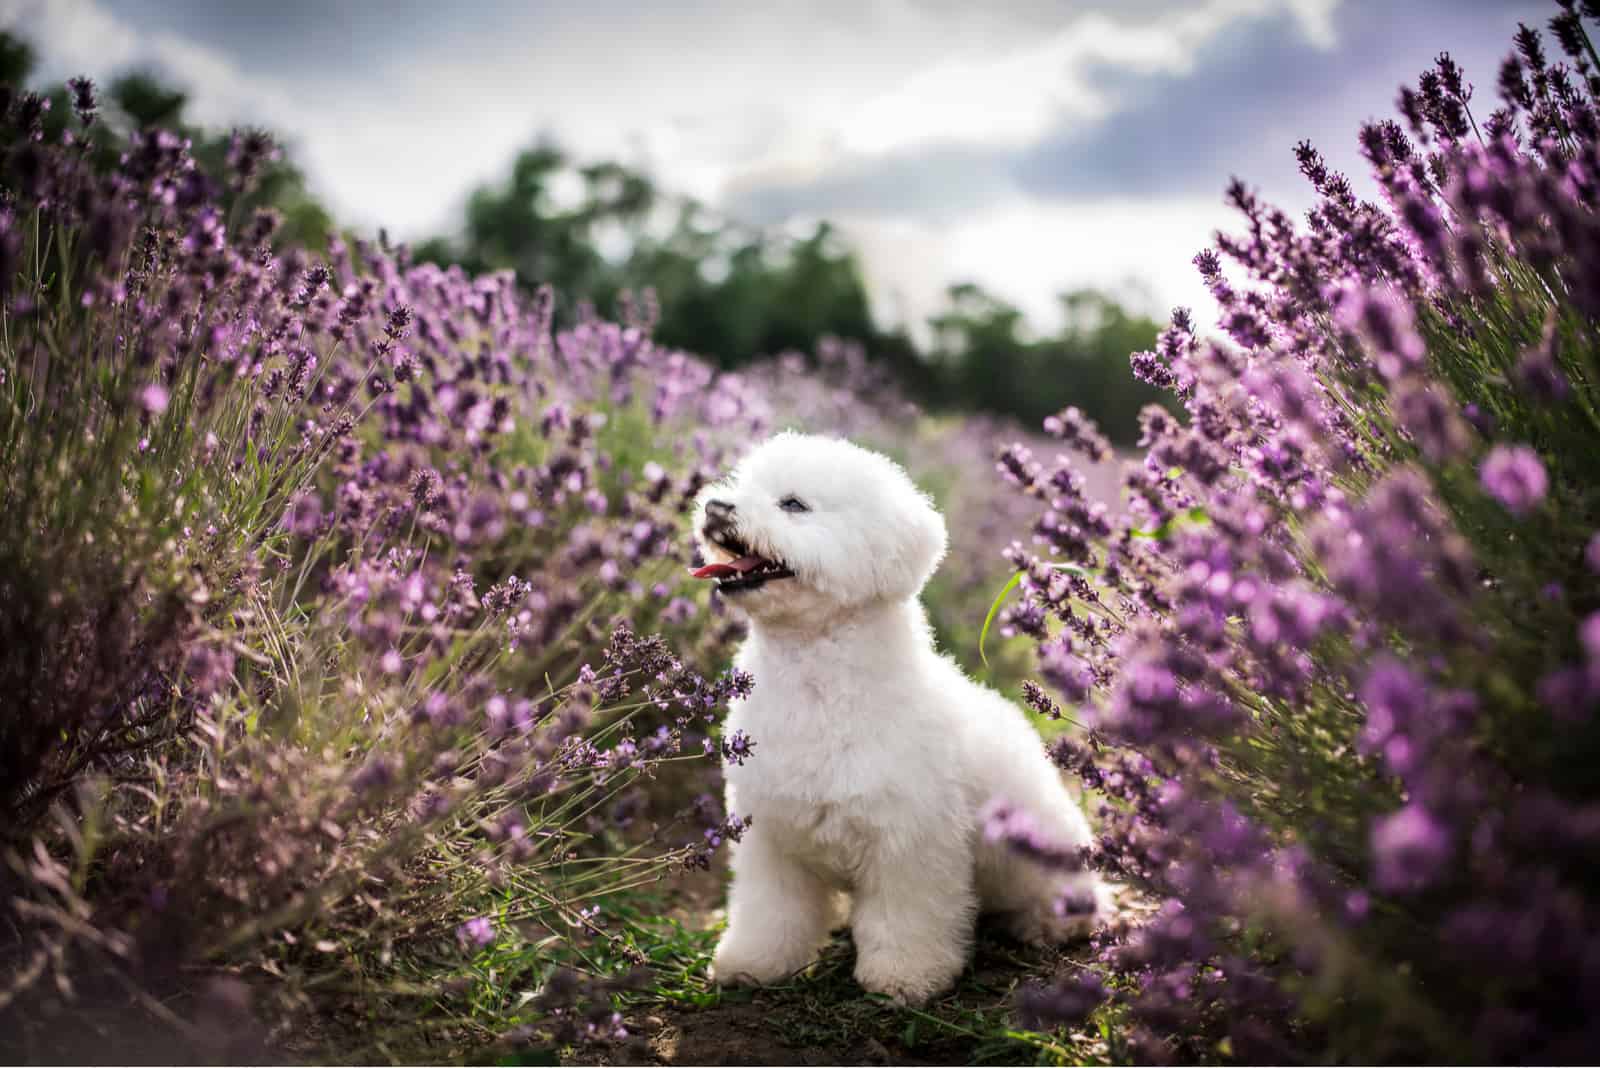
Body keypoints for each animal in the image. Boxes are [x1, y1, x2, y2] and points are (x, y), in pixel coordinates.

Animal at [694, 428, 1107, 1004]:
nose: (716, 507)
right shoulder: (770, 835)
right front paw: (754, 964)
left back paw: (1054, 921)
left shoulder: (909, 840)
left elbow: (905, 918)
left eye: (793, 504)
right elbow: (770, 911)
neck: (816, 678)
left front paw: (904, 979)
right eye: (740, 484)